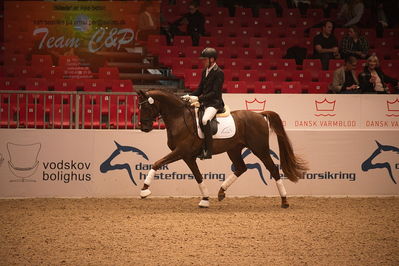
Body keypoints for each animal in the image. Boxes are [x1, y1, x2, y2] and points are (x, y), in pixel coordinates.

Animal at [138, 89, 310, 208]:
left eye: (145, 107)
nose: (144, 128)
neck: (179, 118)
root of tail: (260, 115)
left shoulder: (181, 152)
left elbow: (157, 163)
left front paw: (144, 190)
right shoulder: (188, 156)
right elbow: (198, 177)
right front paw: (205, 200)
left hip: (259, 149)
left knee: (273, 169)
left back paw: (284, 201)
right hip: (233, 149)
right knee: (241, 168)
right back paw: (221, 192)